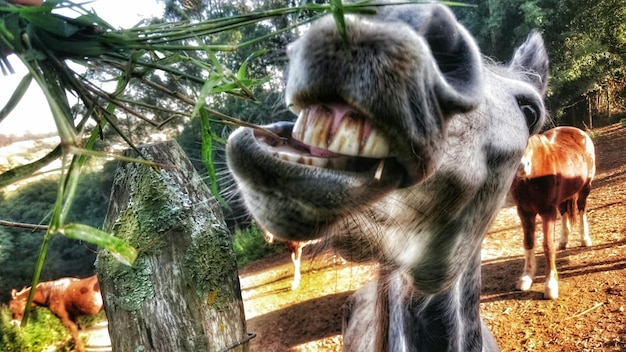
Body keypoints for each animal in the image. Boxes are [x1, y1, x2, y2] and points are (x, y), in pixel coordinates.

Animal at [510, 125, 592, 298]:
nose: (521, 166)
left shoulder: (547, 212)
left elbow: (548, 246)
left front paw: (550, 285)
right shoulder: (524, 212)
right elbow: (528, 242)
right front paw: (526, 278)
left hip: (585, 187)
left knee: (582, 209)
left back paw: (585, 239)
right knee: (564, 211)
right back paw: (563, 241)